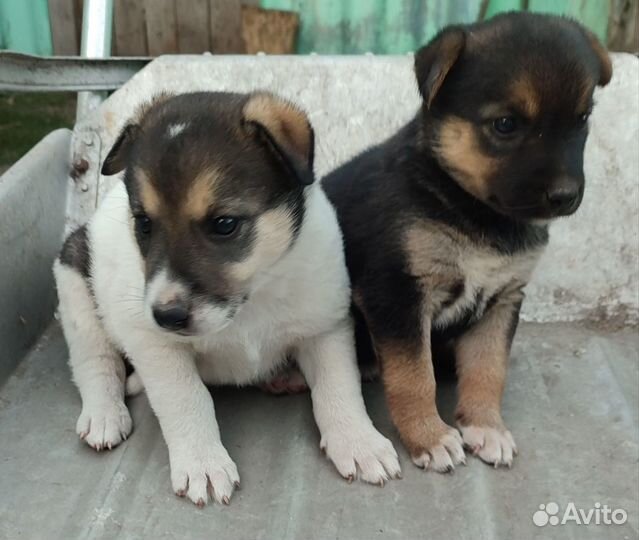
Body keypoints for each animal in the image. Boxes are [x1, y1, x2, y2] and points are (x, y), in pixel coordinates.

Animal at [56, 92, 404, 506]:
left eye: (224, 224)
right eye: (143, 223)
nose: (166, 315)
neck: (251, 301)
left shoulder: (325, 327)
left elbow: (339, 388)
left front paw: (359, 442)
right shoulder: (156, 345)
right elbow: (187, 398)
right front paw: (203, 464)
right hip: (75, 279)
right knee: (95, 361)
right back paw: (105, 414)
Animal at [322, 10, 612, 470]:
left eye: (582, 119)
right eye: (505, 124)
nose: (566, 196)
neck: (474, 211)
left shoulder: (503, 298)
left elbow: (488, 370)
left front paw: (485, 427)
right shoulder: (397, 292)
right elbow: (414, 376)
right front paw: (430, 437)